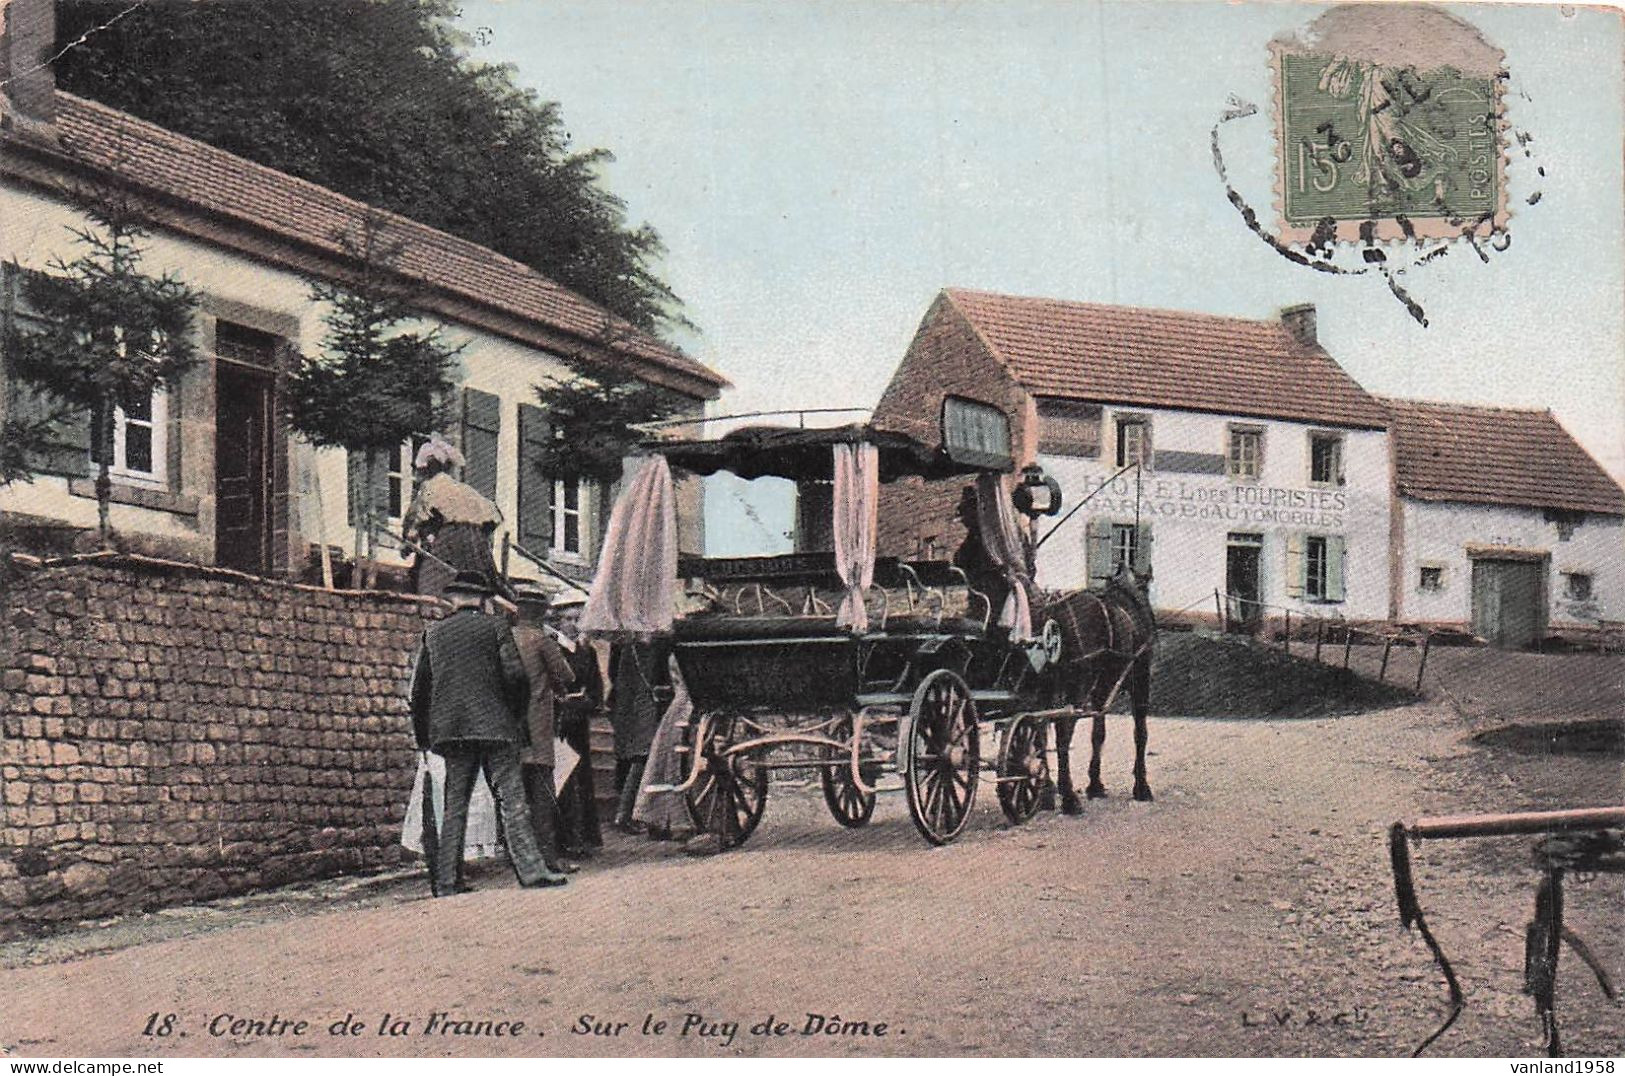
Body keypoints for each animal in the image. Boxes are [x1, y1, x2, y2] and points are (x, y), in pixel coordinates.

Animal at [1040, 568, 1157, 812]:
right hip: (1077, 687)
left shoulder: (1100, 691)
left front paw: (1095, 784)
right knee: (1062, 732)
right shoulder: (1141, 682)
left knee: (1038, 731)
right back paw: (1068, 797)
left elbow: (1098, 734)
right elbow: (1140, 734)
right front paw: (1142, 786)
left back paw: (1045, 791)